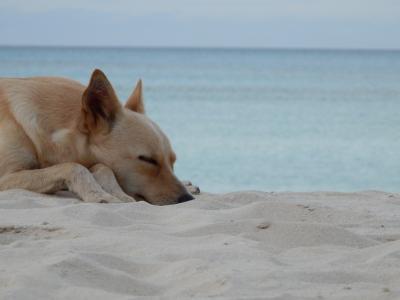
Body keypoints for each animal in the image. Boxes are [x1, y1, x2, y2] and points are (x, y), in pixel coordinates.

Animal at [0, 69, 198, 205]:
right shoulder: (6, 176)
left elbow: (102, 167)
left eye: (173, 160)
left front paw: (116, 193)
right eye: (147, 160)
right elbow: (73, 167)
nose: (186, 199)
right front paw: (99, 194)